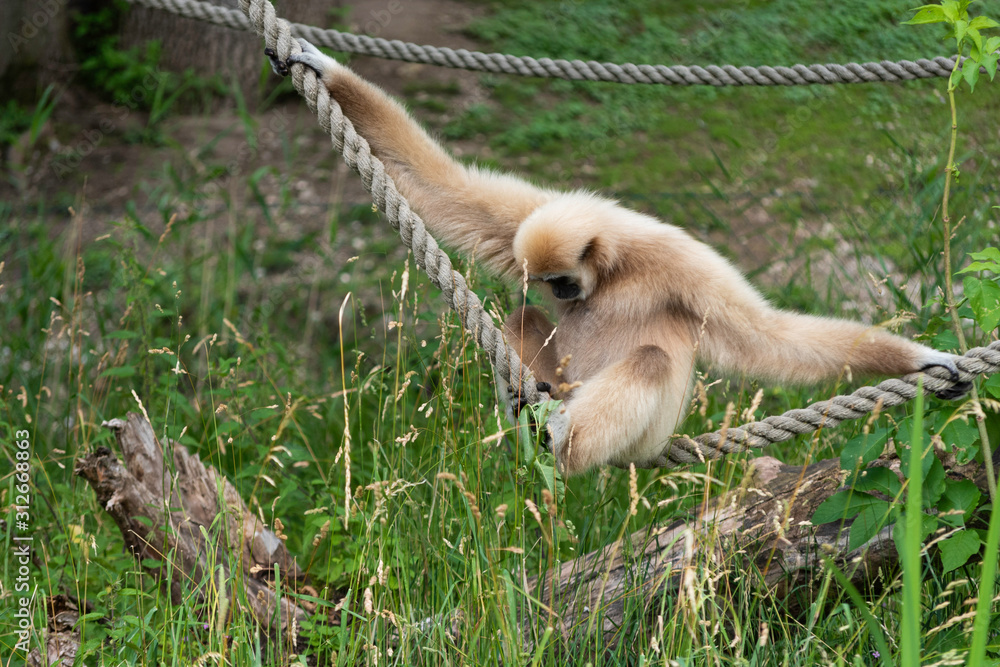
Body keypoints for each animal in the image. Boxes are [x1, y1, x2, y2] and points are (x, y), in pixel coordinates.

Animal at [267, 39, 970, 477]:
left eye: (561, 278)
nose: (558, 291)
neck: (618, 263)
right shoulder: (527, 216)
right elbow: (443, 187)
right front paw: (323, 68)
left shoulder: (686, 263)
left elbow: (770, 337)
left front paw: (921, 360)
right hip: (559, 378)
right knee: (522, 323)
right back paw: (528, 412)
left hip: (641, 431)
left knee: (654, 361)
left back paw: (561, 444)